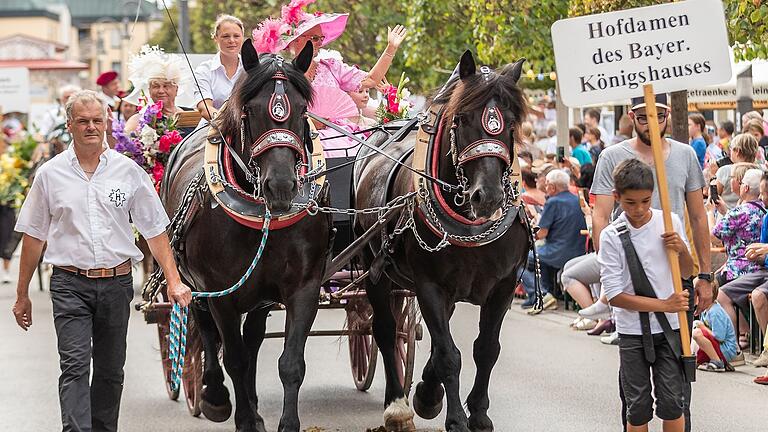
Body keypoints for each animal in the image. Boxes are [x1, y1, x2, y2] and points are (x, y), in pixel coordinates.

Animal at [160, 40, 332, 432]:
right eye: (251, 111)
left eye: (303, 109)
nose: (281, 186)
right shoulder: (221, 292)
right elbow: (234, 358)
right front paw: (241, 417)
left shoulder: (304, 287)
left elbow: (289, 362)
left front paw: (285, 422)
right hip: (191, 283)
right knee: (207, 330)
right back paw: (215, 395)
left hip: (260, 295)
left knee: (252, 339)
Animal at [356, 51, 532, 432]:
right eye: (462, 119)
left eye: (511, 122)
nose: (488, 196)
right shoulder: (430, 286)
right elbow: (449, 354)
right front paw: (454, 417)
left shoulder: (504, 285)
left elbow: (485, 348)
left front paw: (475, 412)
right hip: (372, 267)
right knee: (386, 330)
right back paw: (397, 405)